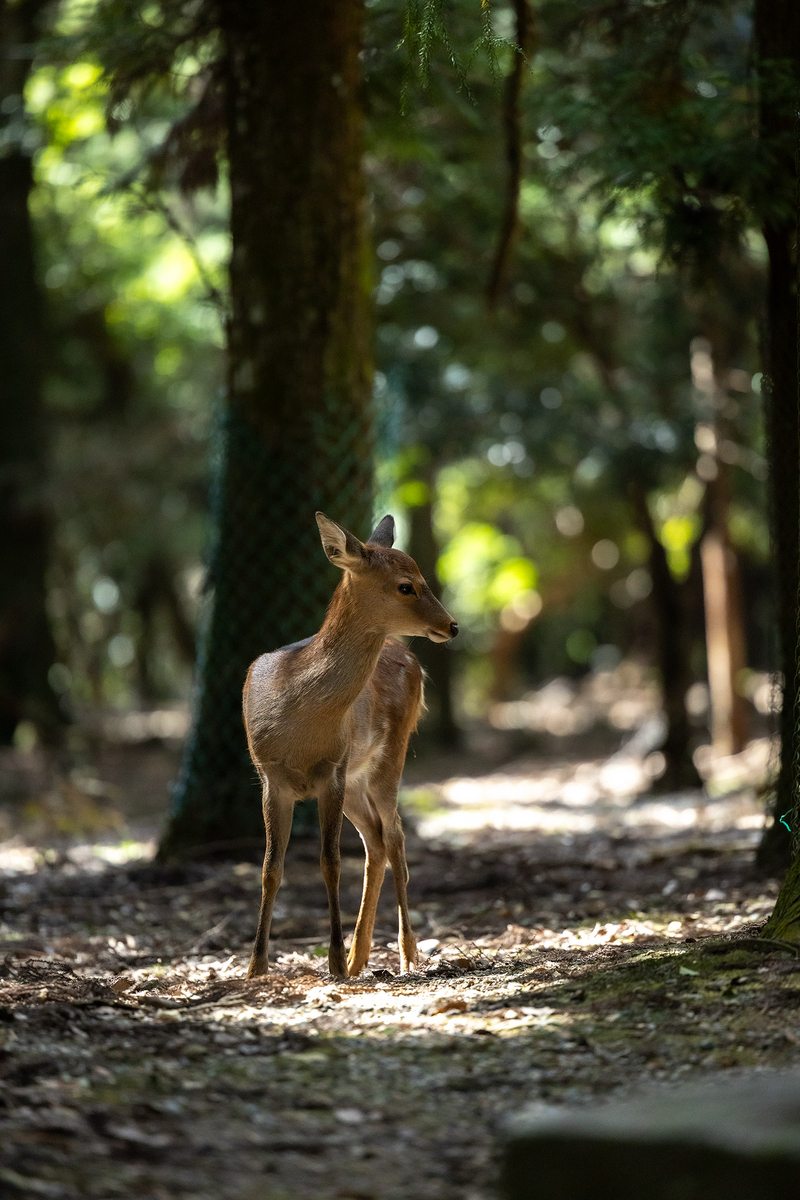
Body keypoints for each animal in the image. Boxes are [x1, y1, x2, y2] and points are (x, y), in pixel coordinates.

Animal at [242, 511, 455, 979]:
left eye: (421, 577)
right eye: (406, 585)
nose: (452, 625)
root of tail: (411, 659)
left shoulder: (332, 770)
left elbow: (330, 862)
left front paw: (335, 962)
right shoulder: (270, 776)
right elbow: (270, 867)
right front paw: (256, 966)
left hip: (389, 756)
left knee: (394, 838)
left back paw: (406, 953)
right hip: (357, 780)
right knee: (375, 840)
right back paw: (362, 956)